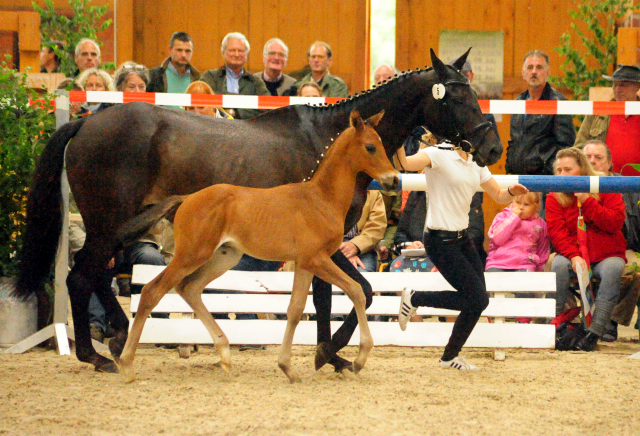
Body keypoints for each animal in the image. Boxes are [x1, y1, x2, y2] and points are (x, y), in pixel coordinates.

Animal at [118, 110, 398, 384]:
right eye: (370, 147)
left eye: (382, 145)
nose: (394, 180)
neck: (321, 199)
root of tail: (186, 198)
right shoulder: (317, 259)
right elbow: (356, 291)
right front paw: (359, 360)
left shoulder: (305, 263)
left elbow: (295, 309)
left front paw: (287, 367)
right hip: (191, 255)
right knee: (152, 291)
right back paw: (127, 365)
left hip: (223, 257)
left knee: (190, 288)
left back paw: (224, 354)